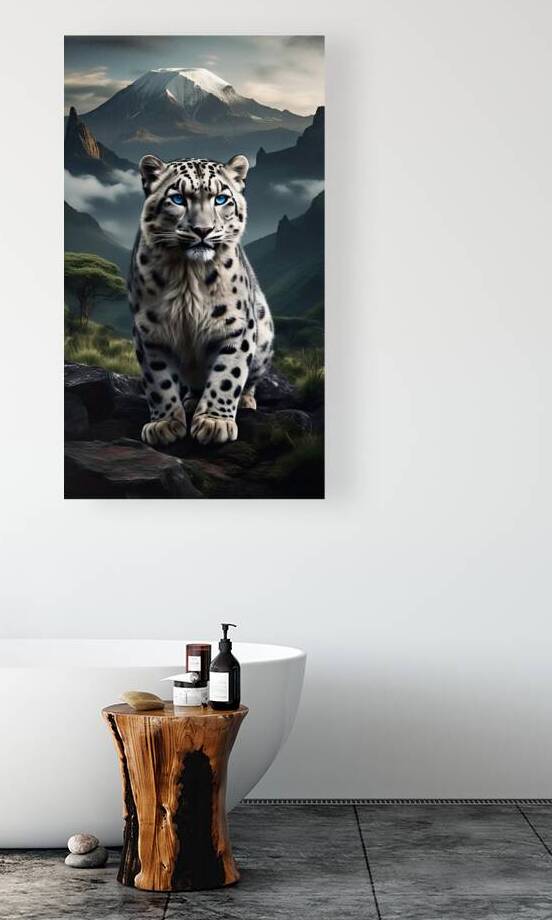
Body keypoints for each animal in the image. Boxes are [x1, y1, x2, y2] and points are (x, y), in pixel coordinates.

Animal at [128, 153, 274, 446]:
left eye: (221, 199)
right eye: (177, 198)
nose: (203, 230)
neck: (188, 276)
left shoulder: (236, 326)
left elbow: (228, 375)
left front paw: (214, 423)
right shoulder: (150, 331)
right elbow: (158, 380)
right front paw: (164, 424)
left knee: (250, 379)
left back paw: (245, 401)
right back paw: (191, 400)